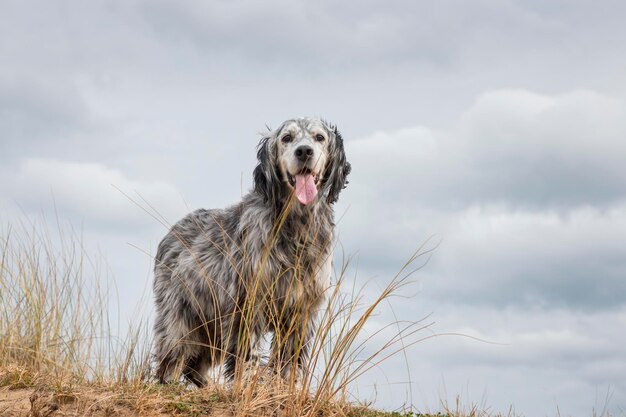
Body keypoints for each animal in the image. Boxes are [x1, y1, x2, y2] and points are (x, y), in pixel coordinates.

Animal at [149, 115, 348, 386]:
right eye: (287, 138)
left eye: (319, 137)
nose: (304, 152)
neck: (296, 226)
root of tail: (172, 232)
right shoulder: (248, 304)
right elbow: (247, 356)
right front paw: (245, 386)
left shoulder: (301, 312)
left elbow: (290, 361)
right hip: (180, 320)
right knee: (172, 360)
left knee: (195, 368)